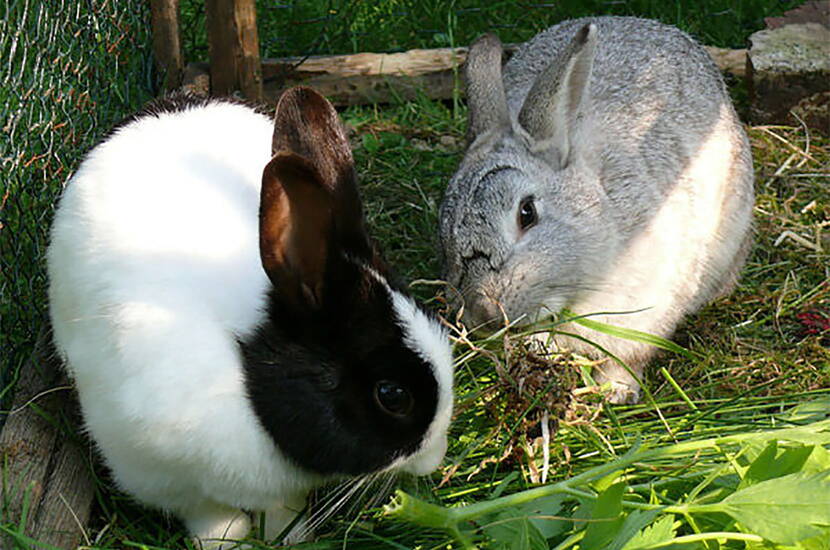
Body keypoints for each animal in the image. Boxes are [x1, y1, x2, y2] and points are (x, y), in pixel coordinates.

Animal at [47, 87, 456, 548]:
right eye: (392, 395)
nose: (435, 457)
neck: (244, 369)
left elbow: (283, 510)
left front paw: (291, 537)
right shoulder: (164, 477)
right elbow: (210, 516)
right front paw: (227, 543)